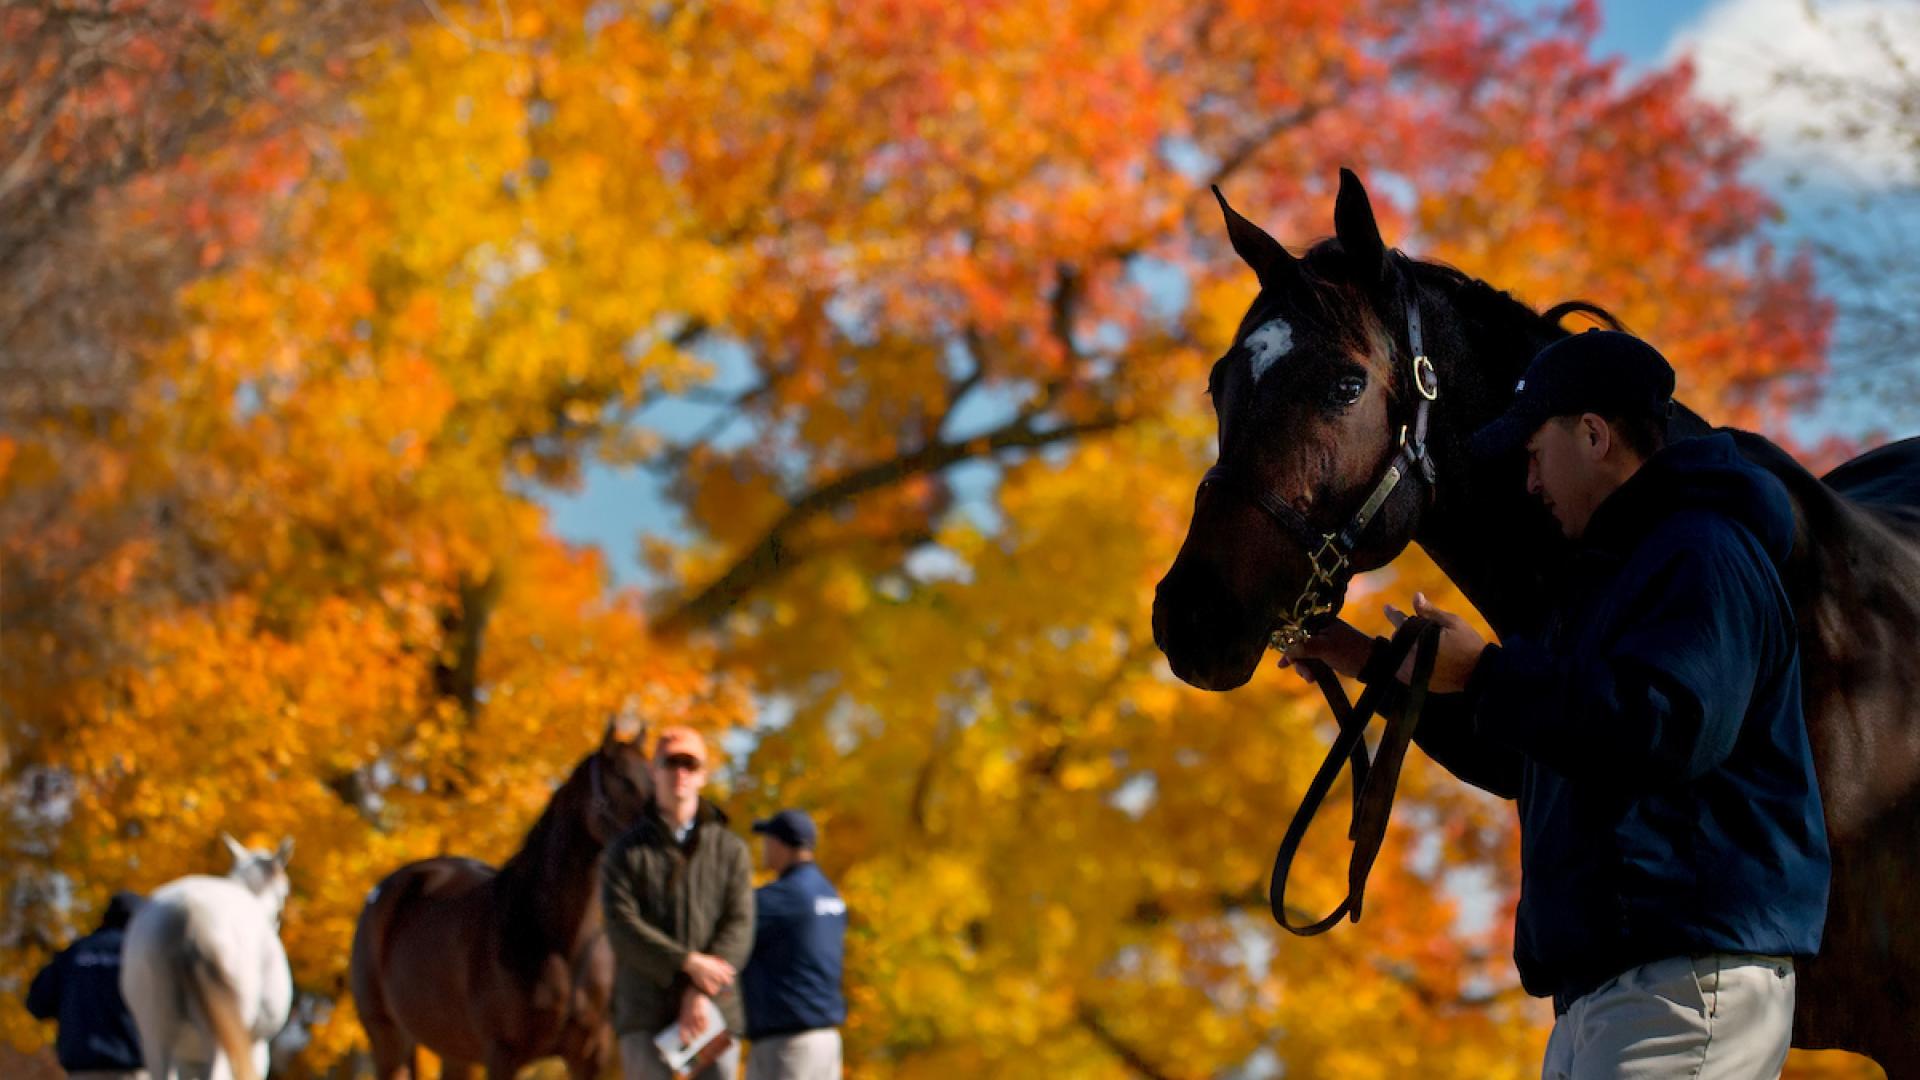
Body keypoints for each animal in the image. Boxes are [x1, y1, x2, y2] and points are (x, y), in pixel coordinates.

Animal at [121, 834, 293, 1076]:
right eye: (284, 893)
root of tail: (189, 913)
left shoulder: (187, 1058)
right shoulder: (255, 1046)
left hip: (156, 1037)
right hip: (223, 1039)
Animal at [355, 714, 660, 1076]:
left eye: (655, 777)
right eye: (625, 780)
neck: (554, 942)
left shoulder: (590, 1054)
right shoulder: (503, 1053)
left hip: (454, 1049)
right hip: (389, 1041)